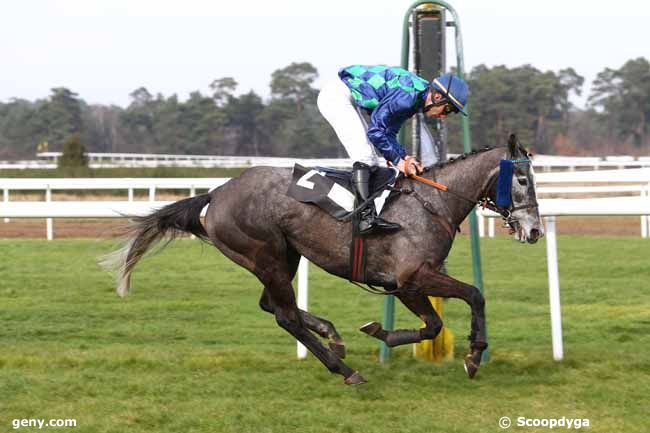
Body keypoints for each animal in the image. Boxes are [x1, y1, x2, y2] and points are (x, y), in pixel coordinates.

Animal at [106, 133, 540, 384]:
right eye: (522, 180)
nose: (534, 230)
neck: (433, 202)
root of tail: (216, 193)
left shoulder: (408, 283)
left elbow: (441, 319)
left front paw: (382, 332)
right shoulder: (409, 279)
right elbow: (463, 302)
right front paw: (472, 354)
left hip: (284, 256)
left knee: (273, 305)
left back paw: (332, 336)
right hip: (266, 255)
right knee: (285, 316)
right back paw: (345, 370)